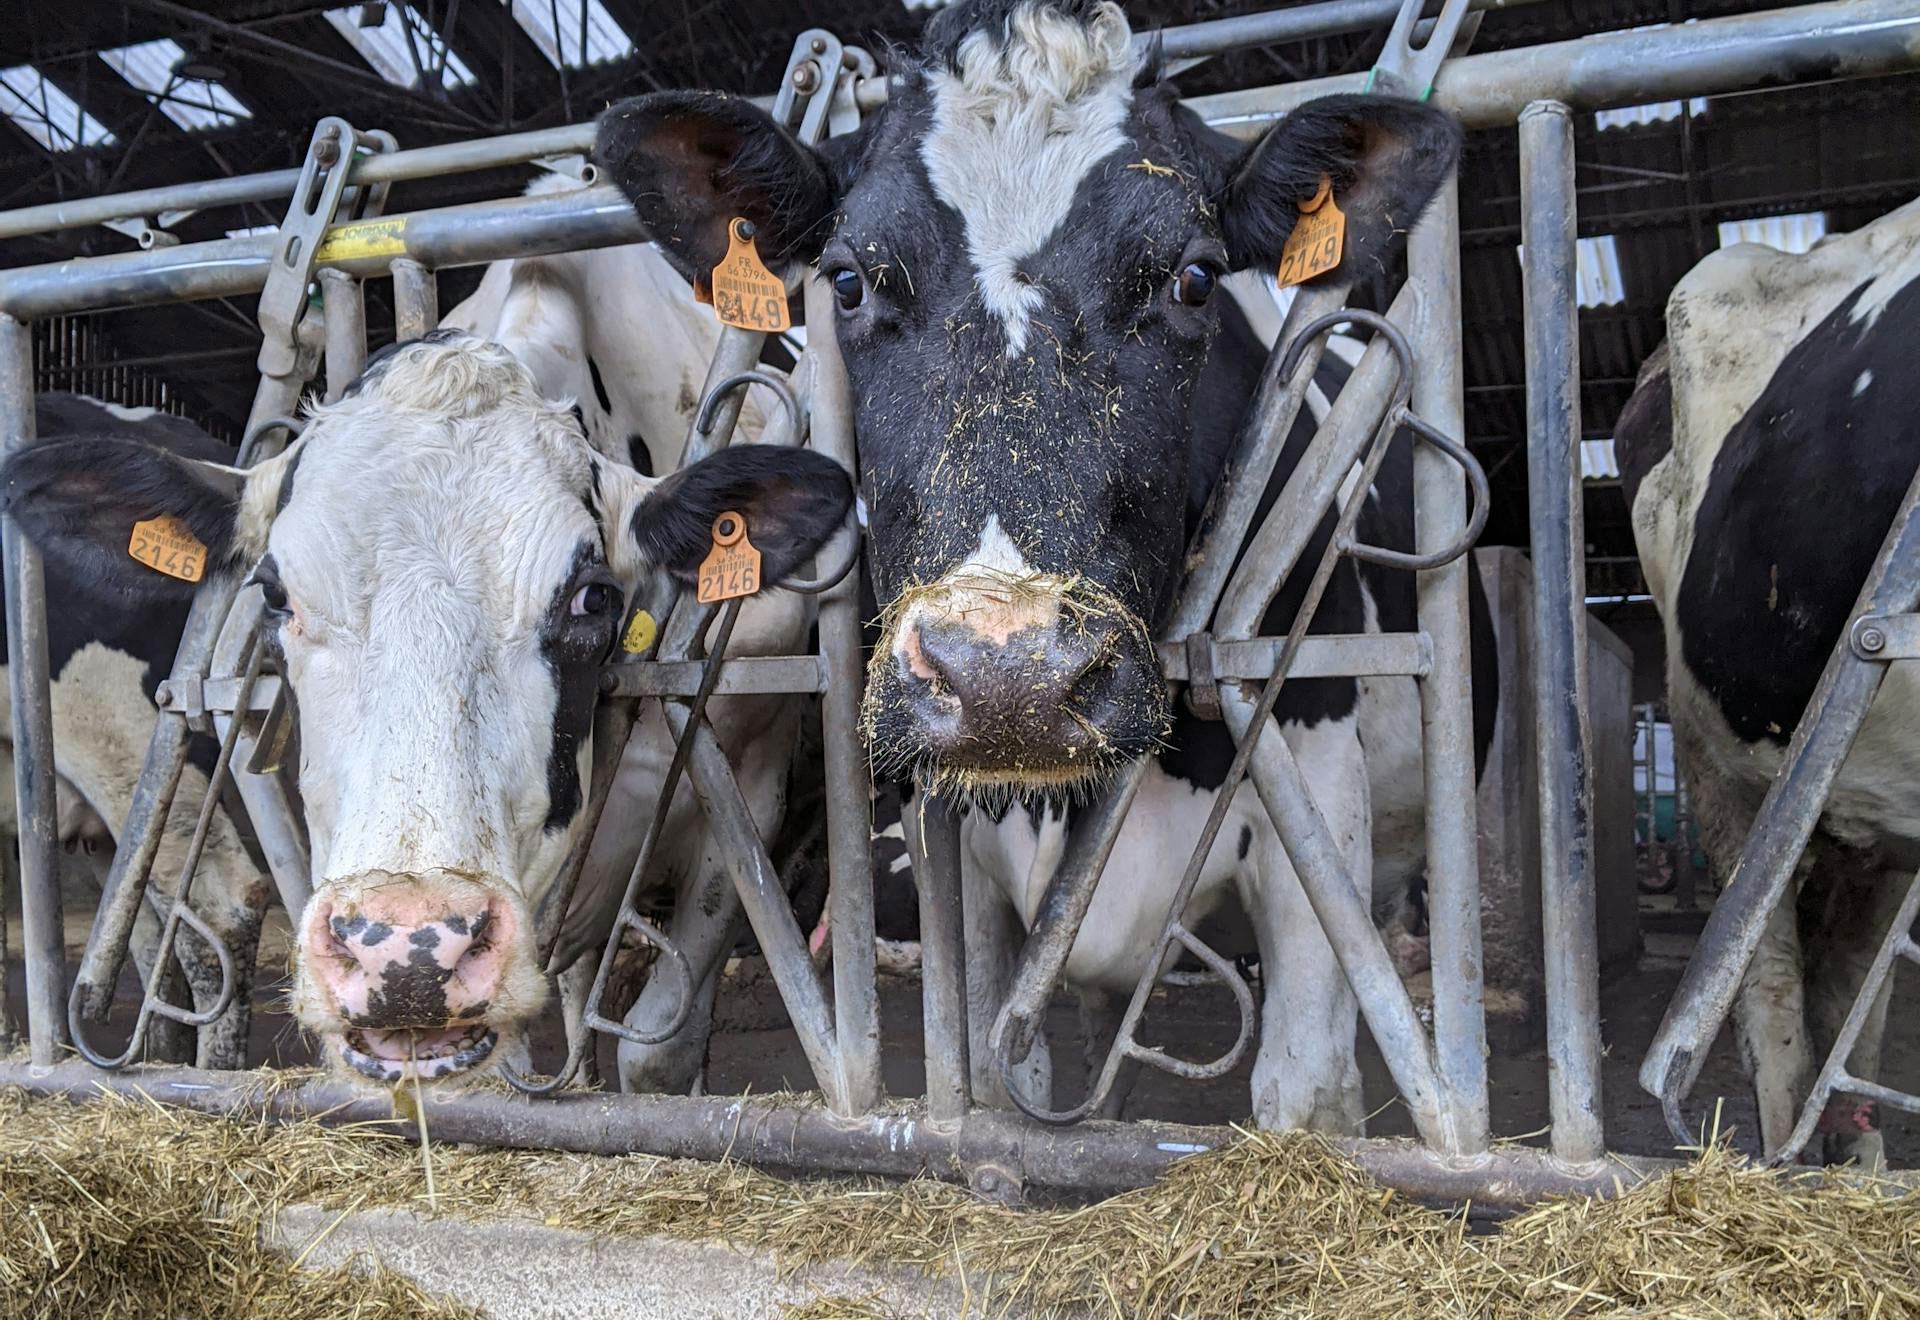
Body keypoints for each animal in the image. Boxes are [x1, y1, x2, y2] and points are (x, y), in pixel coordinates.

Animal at [594, 0, 1484, 1131]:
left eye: (1193, 276)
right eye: (847, 279)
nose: (1004, 680)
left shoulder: (1317, 791)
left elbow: (1304, 1093)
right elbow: (1005, 1082)